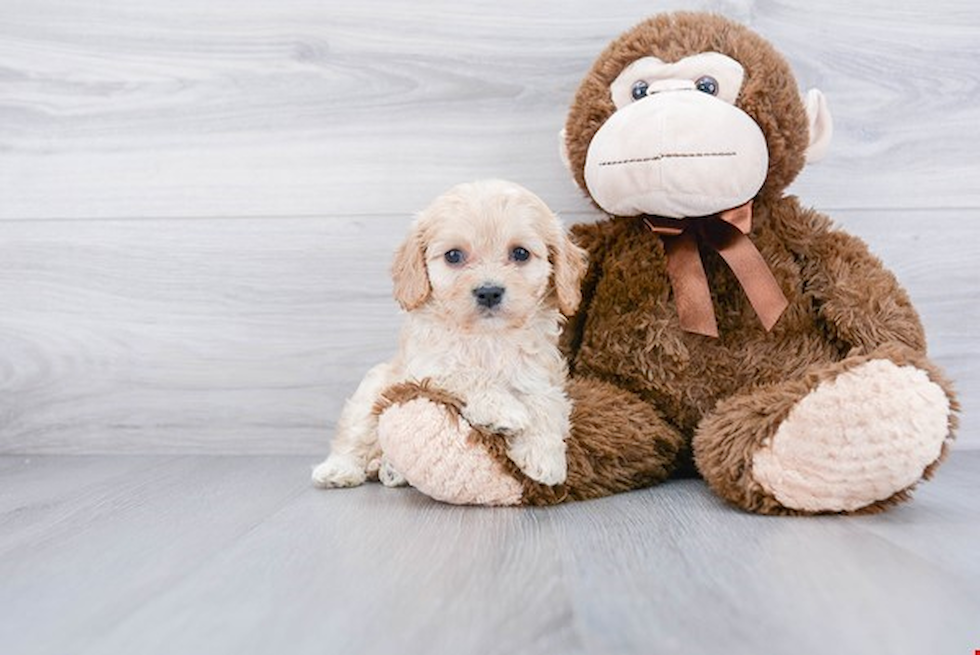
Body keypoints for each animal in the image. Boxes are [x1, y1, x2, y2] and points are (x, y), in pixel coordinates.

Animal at [314, 177, 584, 490]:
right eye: (453, 256)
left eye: (520, 253)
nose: (489, 292)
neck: (487, 338)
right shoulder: (427, 366)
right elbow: (465, 374)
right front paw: (502, 409)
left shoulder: (540, 373)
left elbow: (546, 402)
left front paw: (544, 457)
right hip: (373, 390)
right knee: (355, 436)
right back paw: (340, 469)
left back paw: (391, 470)